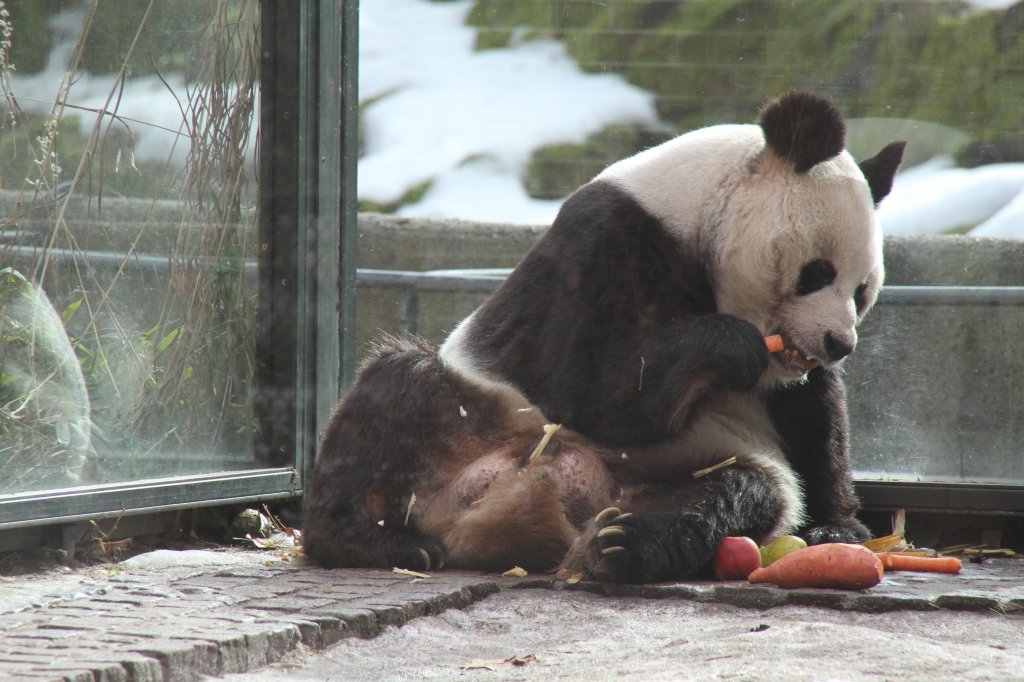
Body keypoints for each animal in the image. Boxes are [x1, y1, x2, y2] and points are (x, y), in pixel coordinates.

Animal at [303, 89, 905, 577]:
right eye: (818, 272)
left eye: (863, 291)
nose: (840, 344)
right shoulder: (605, 240)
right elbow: (576, 381)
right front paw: (731, 347)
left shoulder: (793, 379)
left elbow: (816, 426)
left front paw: (837, 527)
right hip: (481, 414)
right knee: (402, 388)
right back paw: (372, 542)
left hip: (686, 462)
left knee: (736, 494)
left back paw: (620, 545)